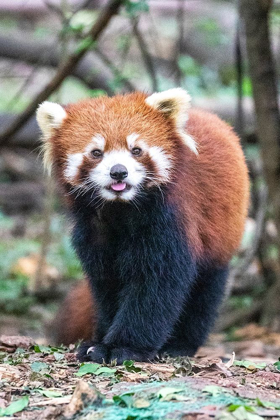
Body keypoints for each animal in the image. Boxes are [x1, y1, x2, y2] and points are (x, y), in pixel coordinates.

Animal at [36, 89, 248, 364]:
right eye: (96, 152)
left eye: (136, 150)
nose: (118, 172)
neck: (121, 210)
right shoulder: (94, 232)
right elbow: (107, 285)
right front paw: (98, 342)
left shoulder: (170, 223)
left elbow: (154, 287)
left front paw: (123, 347)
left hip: (221, 237)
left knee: (205, 292)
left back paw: (179, 345)